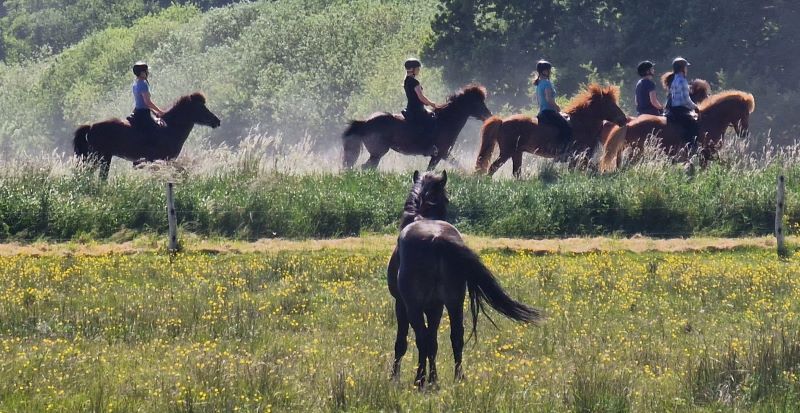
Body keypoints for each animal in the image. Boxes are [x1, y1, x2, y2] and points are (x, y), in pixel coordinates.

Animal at [73, 92, 220, 178]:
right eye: (201, 108)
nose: (217, 121)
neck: (170, 128)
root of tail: (91, 127)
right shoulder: (161, 161)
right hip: (100, 157)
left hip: (98, 157)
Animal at [340, 84, 490, 170]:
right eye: (477, 102)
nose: (488, 115)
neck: (446, 120)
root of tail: (365, 123)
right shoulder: (440, 154)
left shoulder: (444, 154)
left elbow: (459, 166)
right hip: (378, 153)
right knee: (366, 167)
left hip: (376, 154)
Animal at [386, 169, 540, 388]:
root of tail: (437, 239)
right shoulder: (436, 305)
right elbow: (434, 341)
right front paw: (434, 379)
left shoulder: (401, 303)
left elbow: (402, 342)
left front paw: (396, 377)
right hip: (454, 301)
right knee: (455, 336)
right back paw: (457, 377)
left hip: (415, 306)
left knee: (422, 338)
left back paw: (420, 381)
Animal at [472, 83, 628, 177]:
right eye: (610, 105)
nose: (624, 119)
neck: (581, 122)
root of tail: (502, 121)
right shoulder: (578, 156)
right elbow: (590, 169)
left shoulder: (579, 158)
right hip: (507, 152)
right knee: (492, 168)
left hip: (516, 152)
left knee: (516, 173)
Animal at [604, 89, 752, 170]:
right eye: (745, 113)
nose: (744, 133)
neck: (710, 121)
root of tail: (629, 123)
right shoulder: (707, 153)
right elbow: (724, 165)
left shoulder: (705, 156)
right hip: (637, 152)